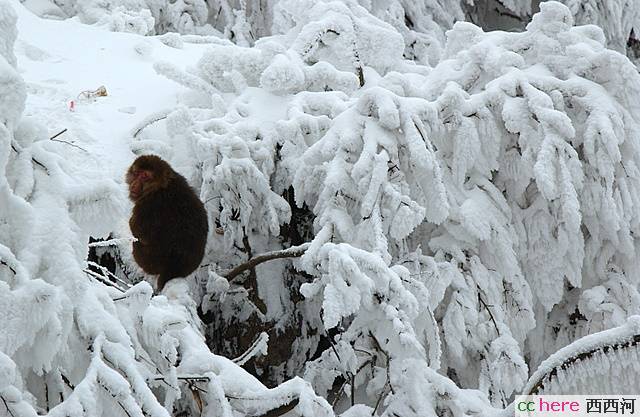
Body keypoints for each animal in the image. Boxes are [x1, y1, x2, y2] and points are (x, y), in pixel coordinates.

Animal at [128, 154, 210, 292]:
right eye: (136, 173)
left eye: (144, 176)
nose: (134, 184)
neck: (160, 185)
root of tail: (174, 269)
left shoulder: (148, 205)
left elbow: (138, 231)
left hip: (149, 260)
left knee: (137, 243)